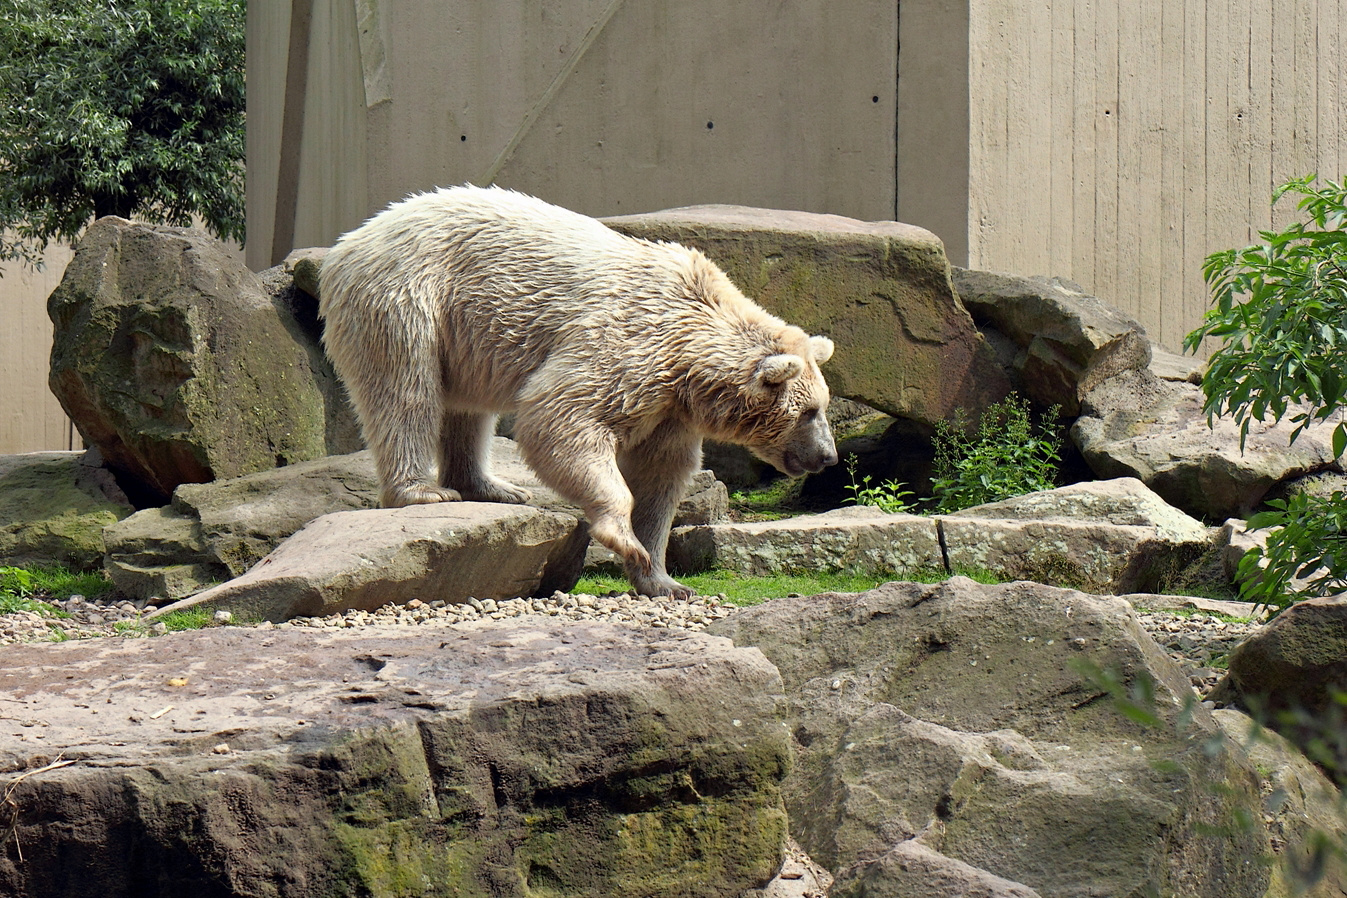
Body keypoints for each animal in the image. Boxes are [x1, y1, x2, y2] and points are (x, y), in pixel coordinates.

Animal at [319, 185, 835, 600]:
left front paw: (664, 578)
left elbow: (660, 474)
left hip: (464, 336)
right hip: (408, 297)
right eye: (809, 412)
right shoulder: (628, 344)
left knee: (467, 408)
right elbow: (561, 419)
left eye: (821, 407)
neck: (688, 342)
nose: (828, 456)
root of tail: (349, 242)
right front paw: (620, 536)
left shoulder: (670, 407)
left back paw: (492, 487)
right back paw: (424, 491)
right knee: (405, 391)